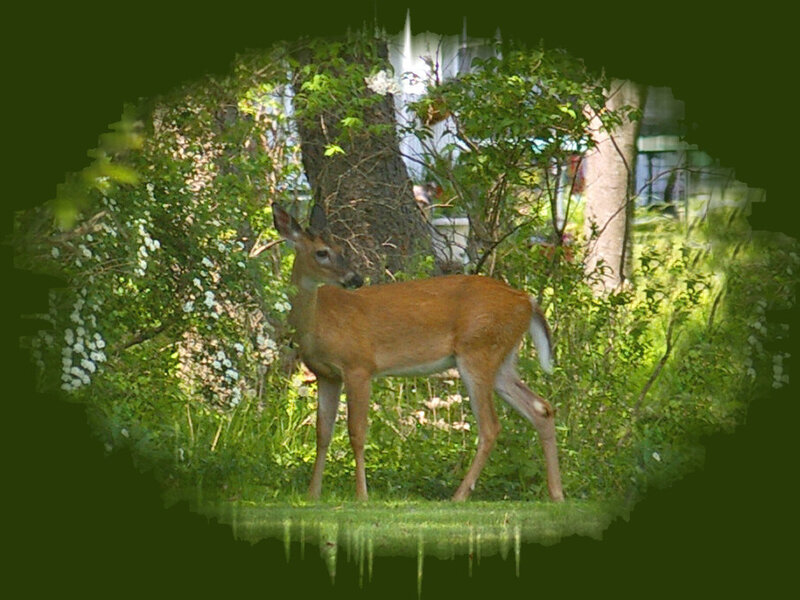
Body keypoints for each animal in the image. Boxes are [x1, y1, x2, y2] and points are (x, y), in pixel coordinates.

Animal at [272, 203, 564, 502]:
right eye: (322, 252)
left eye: (340, 249)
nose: (355, 278)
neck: (318, 322)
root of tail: (527, 300)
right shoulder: (327, 375)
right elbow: (323, 433)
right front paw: (312, 493)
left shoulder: (359, 366)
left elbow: (357, 431)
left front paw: (362, 495)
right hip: (502, 358)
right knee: (541, 408)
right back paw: (556, 494)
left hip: (478, 350)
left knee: (490, 426)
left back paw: (459, 495)